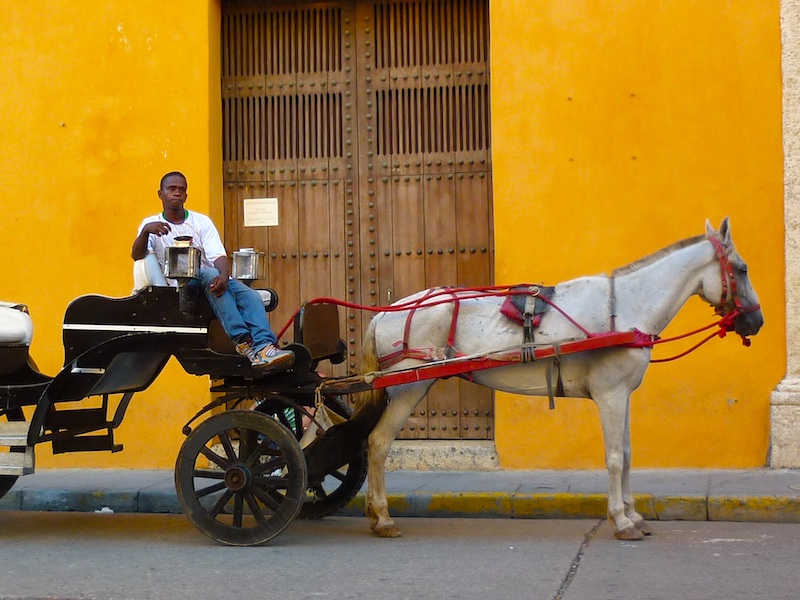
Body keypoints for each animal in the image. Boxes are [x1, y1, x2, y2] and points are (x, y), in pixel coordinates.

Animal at [354, 218, 764, 540]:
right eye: (743, 269)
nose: (756, 322)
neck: (625, 307)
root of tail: (386, 312)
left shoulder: (623, 395)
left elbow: (628, 454)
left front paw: (634, 514)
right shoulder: (611, 394)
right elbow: (615, 457)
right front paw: (621, 520)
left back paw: (376, 515)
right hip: (408, 388)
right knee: (377, 444)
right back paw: (384, 517)